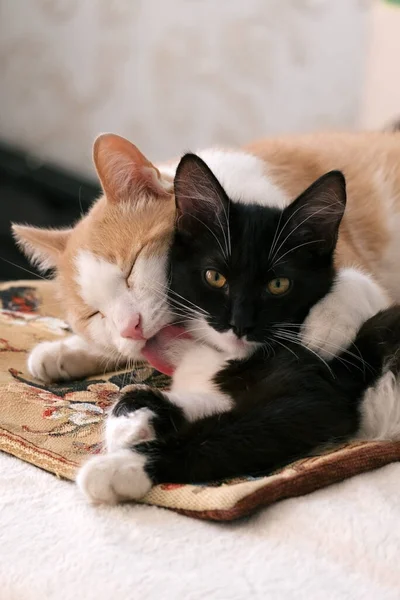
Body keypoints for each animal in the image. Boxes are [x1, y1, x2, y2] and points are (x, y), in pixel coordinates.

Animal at [12, 129, 400, 382]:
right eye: (93, 314)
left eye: (131, 268)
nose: (130, 328)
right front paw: (67, 350)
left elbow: (356, 281)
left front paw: (325, 326)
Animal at [77, 154, 400, 502]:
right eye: (215, 277)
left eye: (278, 284)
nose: (240, 323)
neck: (223, 357)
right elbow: (189, 401)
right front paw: (132, 418)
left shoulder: (319, 395)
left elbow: (225, 433)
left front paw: (122, 465)